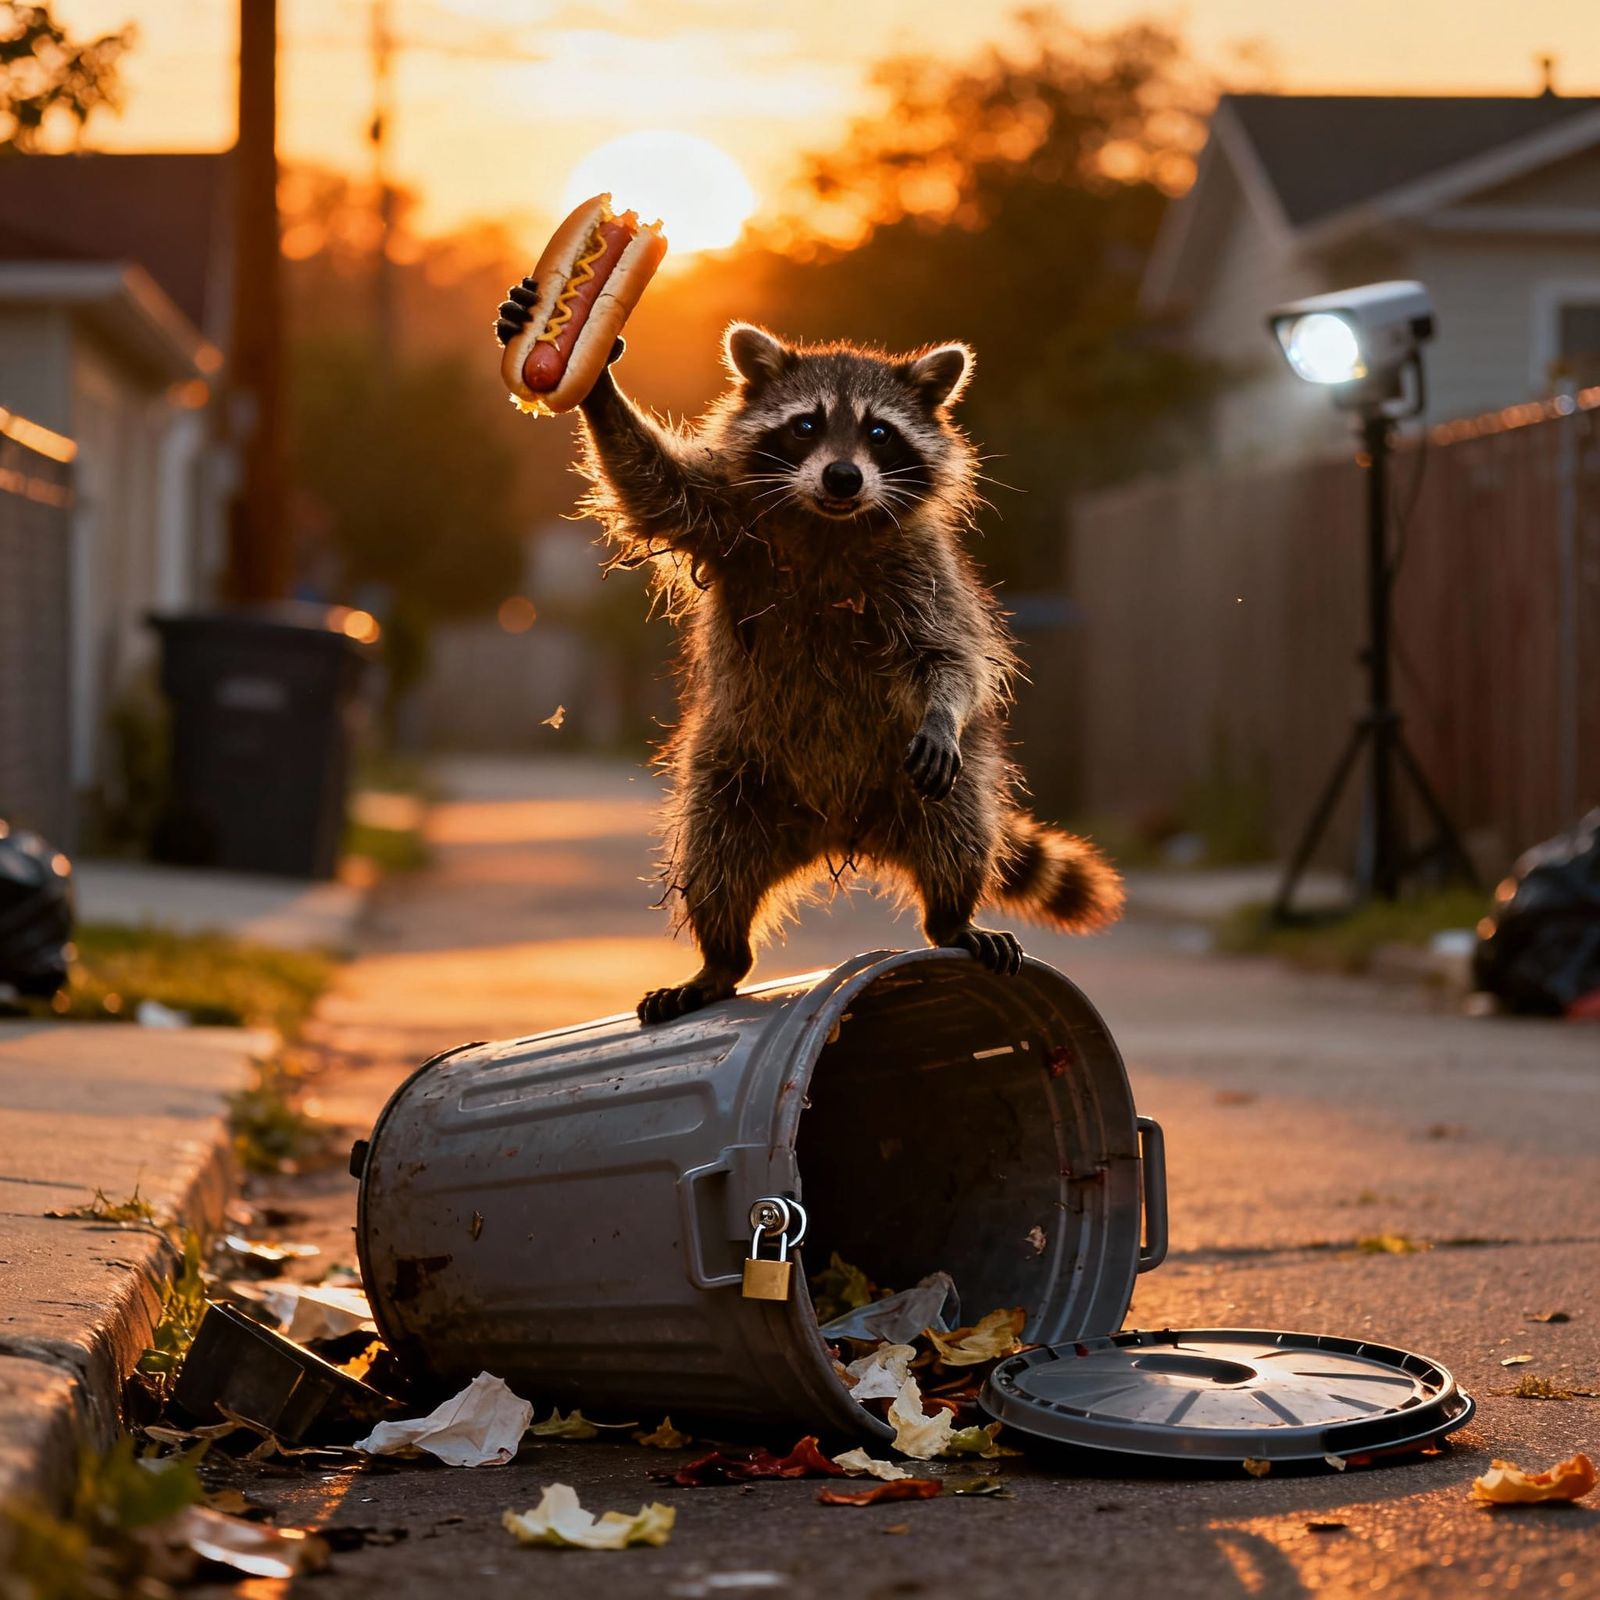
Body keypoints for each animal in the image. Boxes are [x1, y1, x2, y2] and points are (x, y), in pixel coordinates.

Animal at [494, 293, 1124, 1023]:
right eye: (805, 425)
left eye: (880, 433)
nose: (843, 476)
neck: (828, 522)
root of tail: (839, 829)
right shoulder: (728, 517)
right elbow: (652, 484)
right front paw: (595, 382)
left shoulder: (922, 571)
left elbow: (949, 655)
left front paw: (943, 709)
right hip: (733, 772)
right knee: (713, 856)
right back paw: (721, 955)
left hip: (921, 779)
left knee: (957, 826)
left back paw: (951, 914)